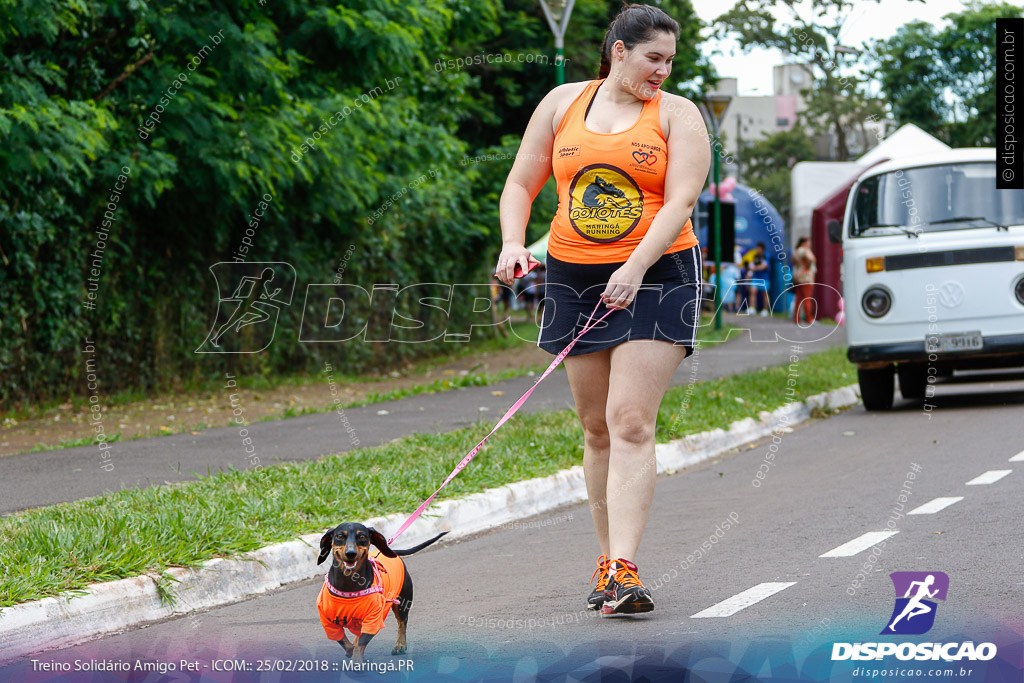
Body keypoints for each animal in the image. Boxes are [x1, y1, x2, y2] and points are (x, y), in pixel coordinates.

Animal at [315, 524, 444, 663]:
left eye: (362, 537)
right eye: (339, 536)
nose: (351, 553)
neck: (349, 586)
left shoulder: (374, 619)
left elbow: (361, 643)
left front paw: (357, 660)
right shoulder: (328, 623)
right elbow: (346, 643)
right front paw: (353, 652)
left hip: (402, 602)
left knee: (402, 623)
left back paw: (400, 645)